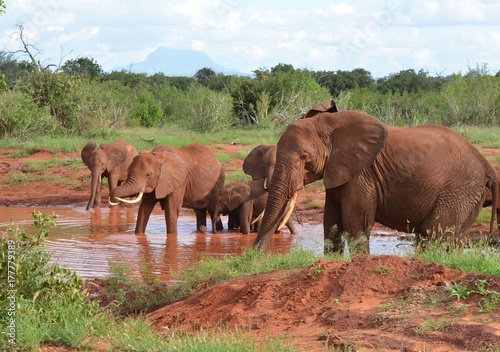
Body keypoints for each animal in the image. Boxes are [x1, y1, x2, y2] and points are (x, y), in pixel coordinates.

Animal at [254, 111, 496, 252]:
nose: (255, 255)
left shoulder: (362, 174)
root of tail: (486, 165)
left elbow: (355, 224)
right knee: (452, 238)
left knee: (432, 233)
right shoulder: (338, 171)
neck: (329, 125)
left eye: (304, 157)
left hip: (460, 190)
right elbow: (331, 223)